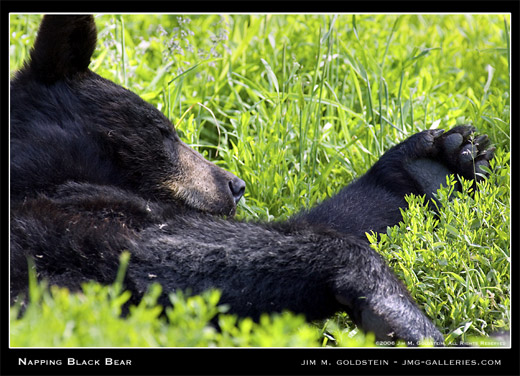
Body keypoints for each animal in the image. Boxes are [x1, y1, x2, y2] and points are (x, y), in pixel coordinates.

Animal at [9, 15, 496, 346]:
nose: (235, 184)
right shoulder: (62, 222)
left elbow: (304, 226)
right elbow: (168, 255)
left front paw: (438, 161)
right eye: (165, 132)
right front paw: (400, 312)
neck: (40, 173)